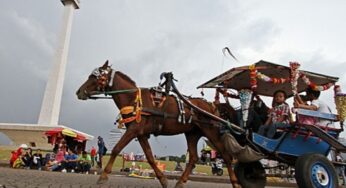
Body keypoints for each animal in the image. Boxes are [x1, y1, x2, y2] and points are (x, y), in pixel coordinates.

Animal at [76, 61, 241, 187]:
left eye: (95, 76)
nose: (79, 92)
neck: (133, 98)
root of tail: (212, 105)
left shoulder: (133, 130)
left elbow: (116, 149)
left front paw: (103, 176)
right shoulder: (141, 133)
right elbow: (149, 157)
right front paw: (162, 179)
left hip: (211, 131)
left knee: (226, 155)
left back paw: (235, 182)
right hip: (192, 133)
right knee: (193, 158)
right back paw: (180, 182)